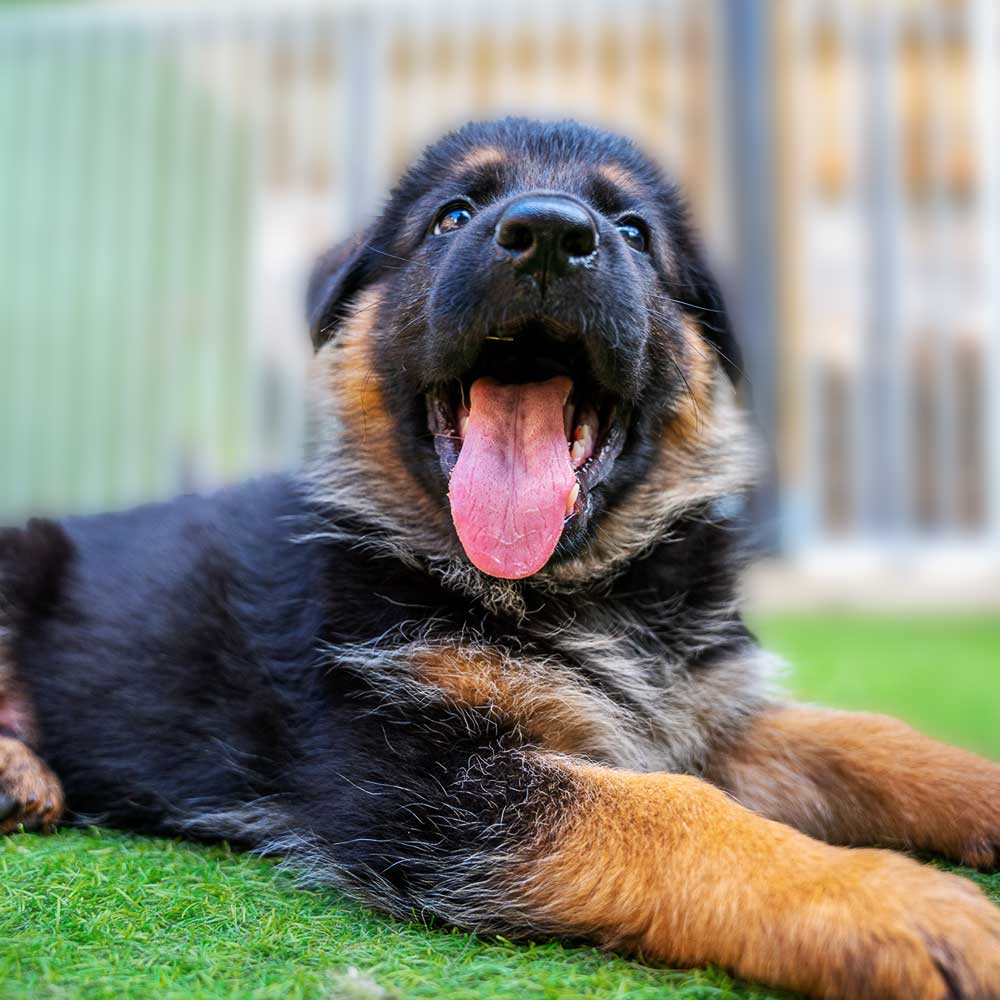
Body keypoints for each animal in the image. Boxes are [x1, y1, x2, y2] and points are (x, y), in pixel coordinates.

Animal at [1, 119, 1000, 1000]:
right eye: (452, 214)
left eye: (633, 232)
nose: (551, 235)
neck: (570, 588)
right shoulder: (416, 778)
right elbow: (674, 811)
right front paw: (891, 904)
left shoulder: (700, 713)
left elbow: (870, 742)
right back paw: (19, 772)